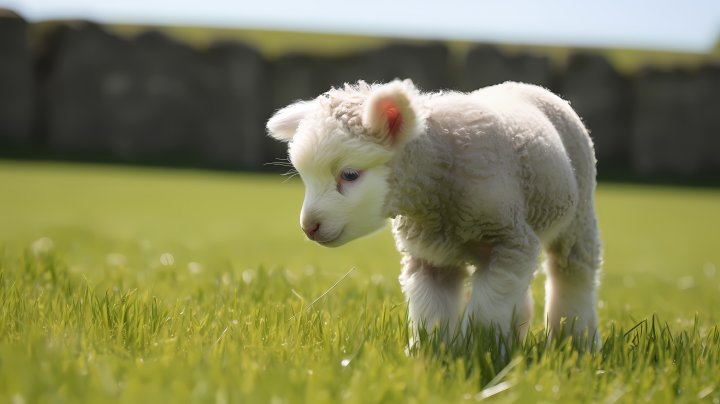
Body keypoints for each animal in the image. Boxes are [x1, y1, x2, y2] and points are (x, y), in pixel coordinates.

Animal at [264, 79, 600, 348]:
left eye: (349, 175)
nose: (309, 227)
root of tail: (530, 86)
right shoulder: (432, 255)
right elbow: (432, 314)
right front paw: (430, 358)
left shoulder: (511, 241)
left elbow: (487, 309)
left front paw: (476, 351)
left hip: (578, 214)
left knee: (573, 273)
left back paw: (575, 341)